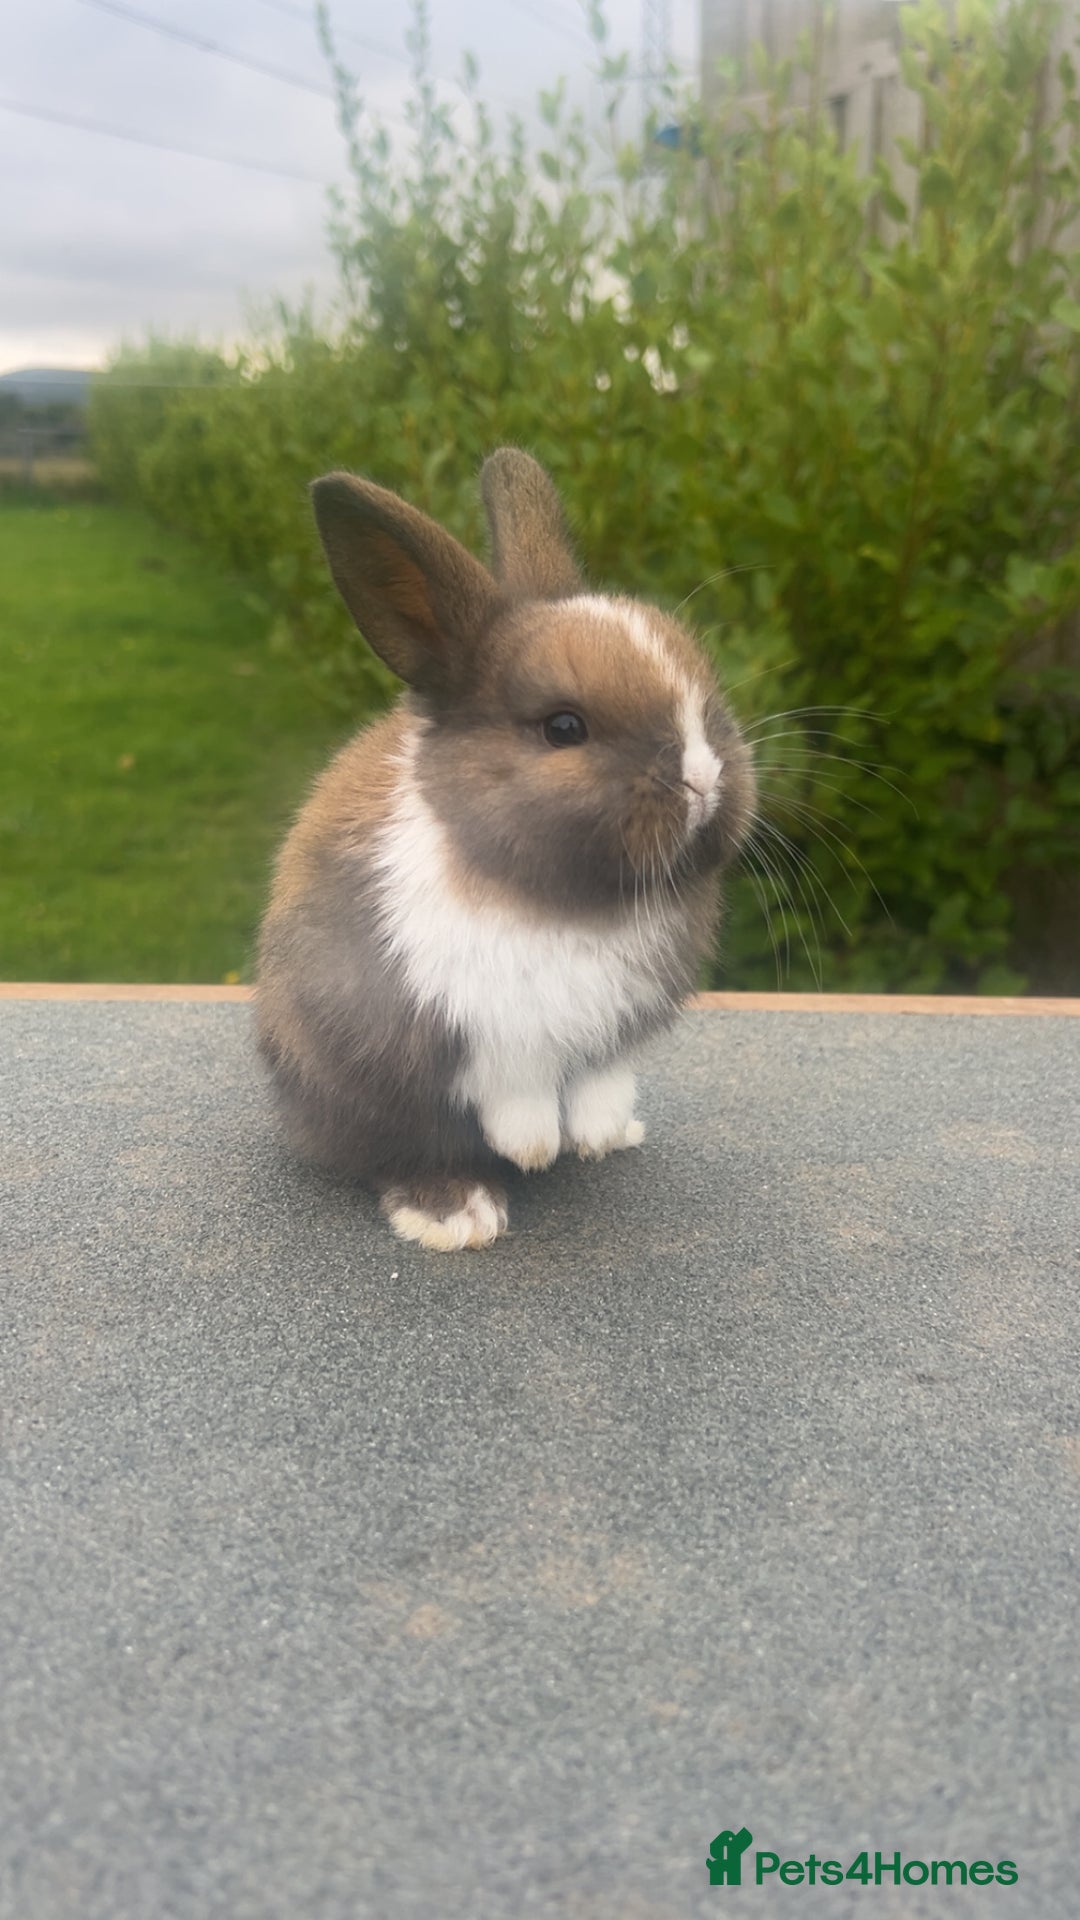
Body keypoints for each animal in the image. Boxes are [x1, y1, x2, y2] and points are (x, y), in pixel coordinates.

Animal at [255, 449, 755, 1250]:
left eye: (707, 699)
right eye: (563, 727)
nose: (703, 780)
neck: (575, 904)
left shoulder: (617, 1025)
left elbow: (600, 1078)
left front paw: (597, 1133)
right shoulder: (470, 1023)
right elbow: (511, 1087)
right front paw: (534, 1149)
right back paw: (456, 1212)